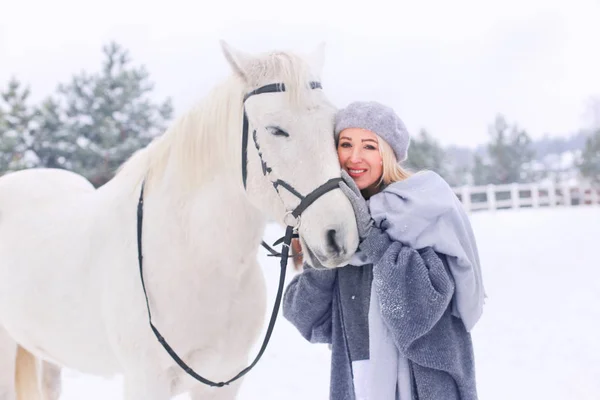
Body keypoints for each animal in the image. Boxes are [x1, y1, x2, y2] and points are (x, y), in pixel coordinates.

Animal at [0, 39, 358, 396]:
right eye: (276, 130)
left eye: (333, 127)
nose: (339, 235)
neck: (194, 256)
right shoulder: (146, 381)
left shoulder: (225, 380)